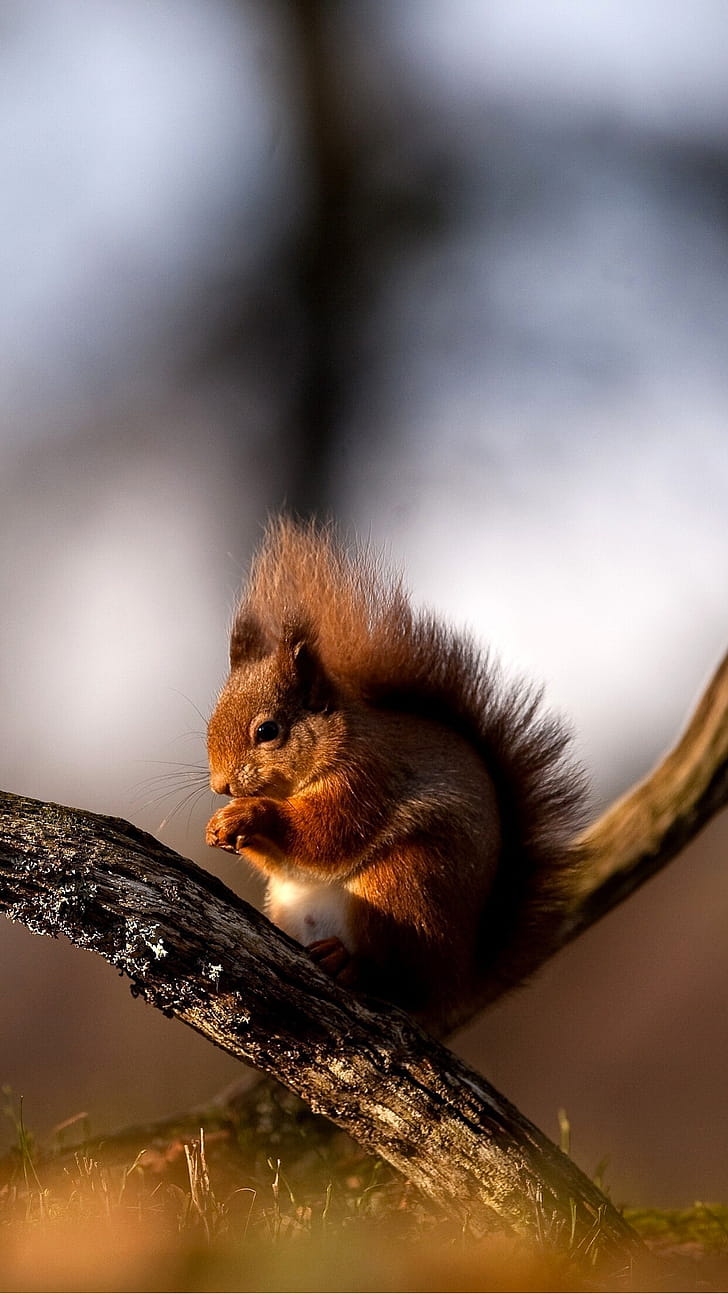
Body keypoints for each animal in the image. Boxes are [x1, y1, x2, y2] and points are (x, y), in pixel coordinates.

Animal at [205, 517, 586, 1036]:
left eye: (268, 731)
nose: (221, 786)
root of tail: (454, 984)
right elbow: (289, 863)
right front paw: (222, 825)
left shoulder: (366, 778)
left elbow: (325, 836)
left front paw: (251, 814)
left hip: (404, 886)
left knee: (397, 979)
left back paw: (353, 966)